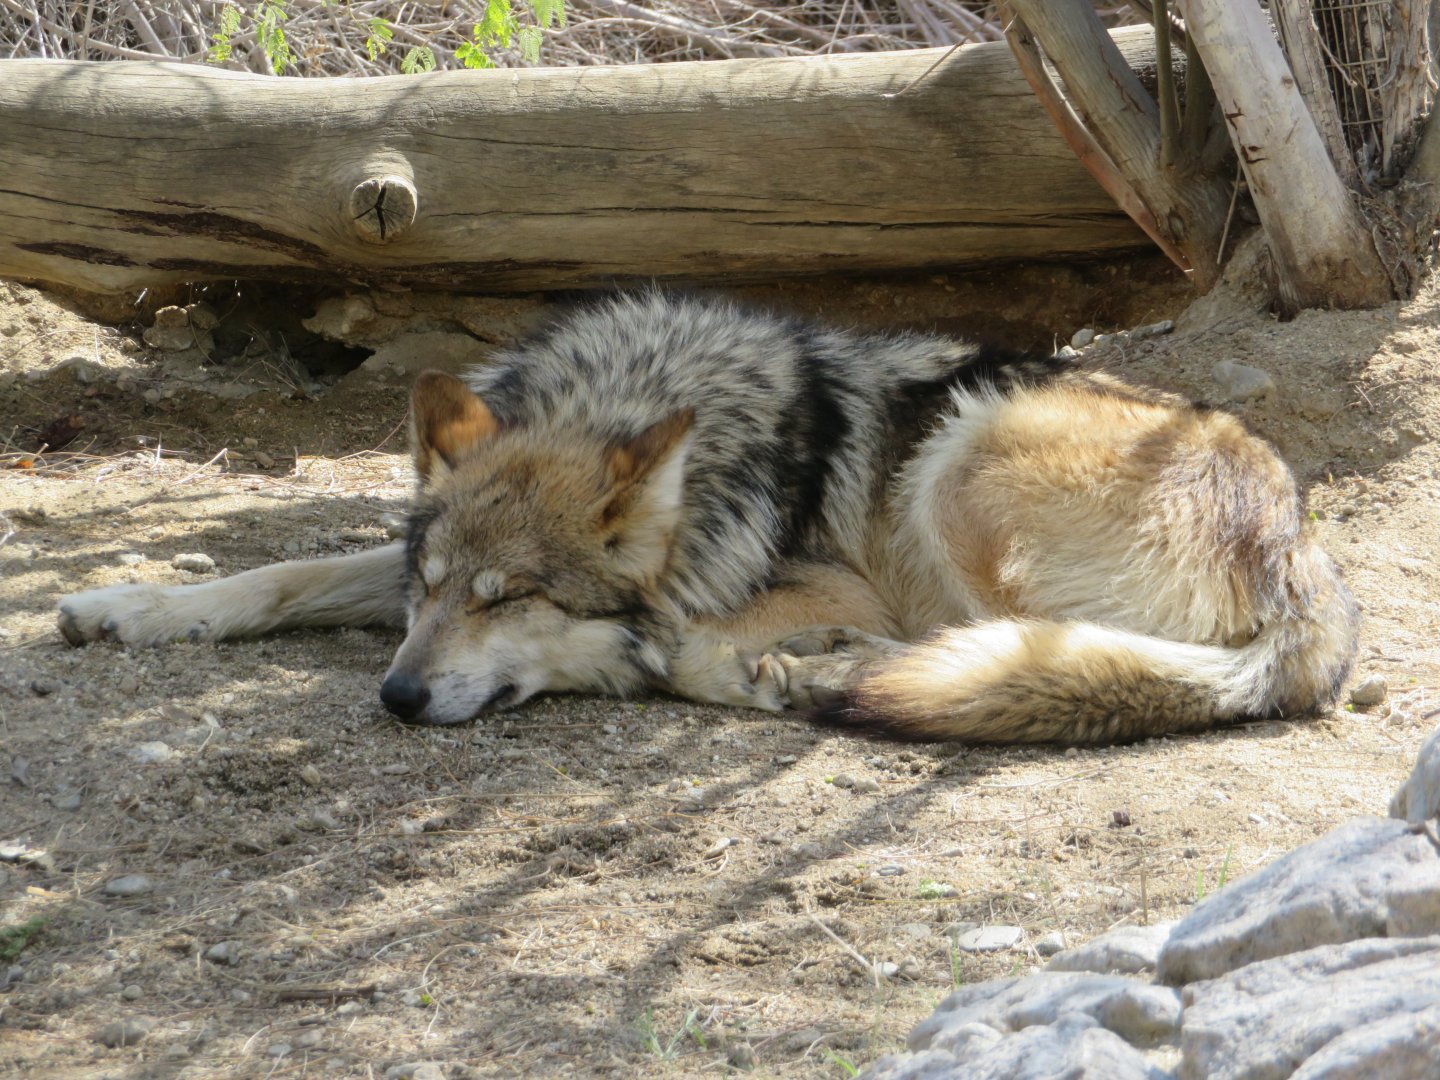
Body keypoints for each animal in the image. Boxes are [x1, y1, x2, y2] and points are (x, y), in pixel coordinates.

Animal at [58, 292, 1359, 743]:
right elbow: (283, 574)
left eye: (513, 600)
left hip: (957, 462)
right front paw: (130, 604)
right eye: (435, 593)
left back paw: (818, 672)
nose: (399, 696)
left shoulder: (834, 581)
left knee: (1011, 650)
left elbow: (661, 640)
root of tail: (1304, 558)